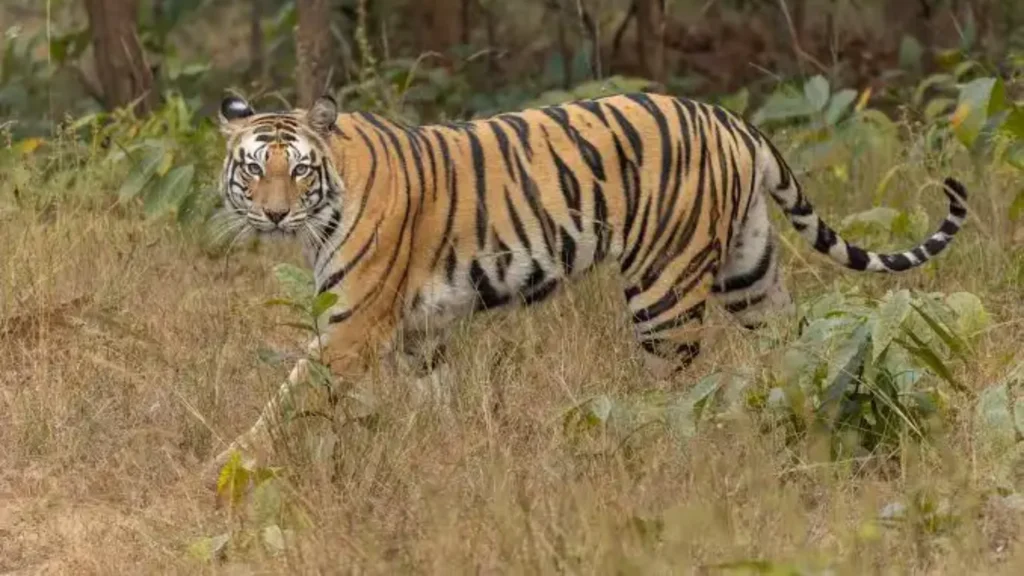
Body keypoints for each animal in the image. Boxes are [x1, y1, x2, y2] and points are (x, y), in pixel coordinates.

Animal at [204, 91, 968, 481]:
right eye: (255, 168)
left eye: (299, 170)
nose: (275, 213)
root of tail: (730, 119)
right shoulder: (423, 333)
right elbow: (436, 402)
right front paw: (451, 455)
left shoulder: (352, 327)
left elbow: (283, 403)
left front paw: (225, 465)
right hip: (750, 273)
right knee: (791, 348)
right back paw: (803, 423)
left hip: (665, 290)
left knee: (677, 390)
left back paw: (656, 454)